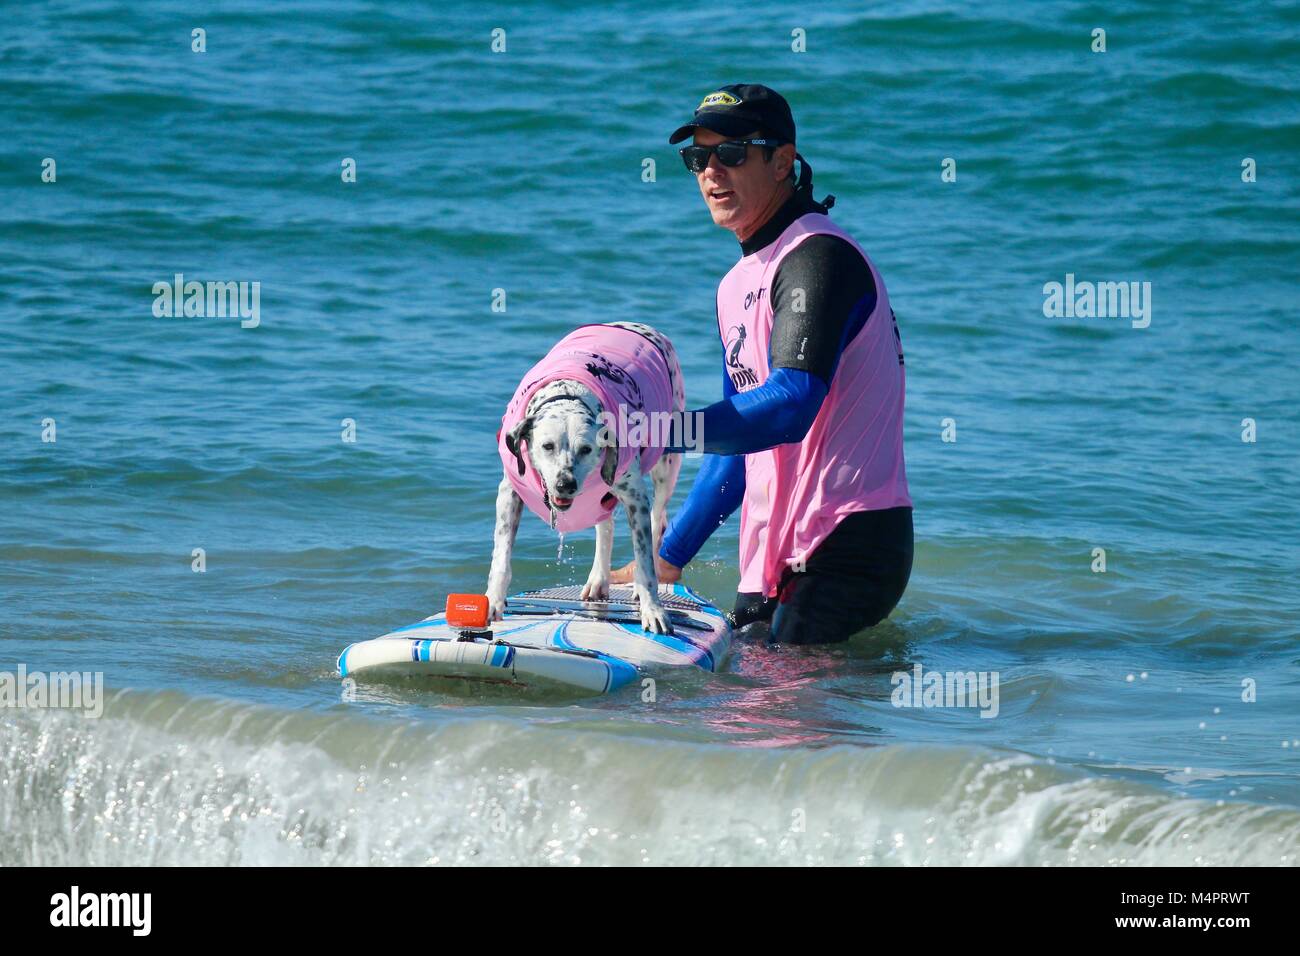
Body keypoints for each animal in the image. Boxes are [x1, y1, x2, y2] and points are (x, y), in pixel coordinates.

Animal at [488, 321, 691, 634]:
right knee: (604, 525)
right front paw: (493, 600)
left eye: (586, 449)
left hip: (666, 465)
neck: (570, 392)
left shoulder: (635, 498)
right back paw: (598, 579)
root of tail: (642, 326)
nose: (565, 484)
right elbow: (502, 556)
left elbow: (645, 562)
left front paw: (653, 609)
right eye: (547, 446)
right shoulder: (510, 491)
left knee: (658, 521)